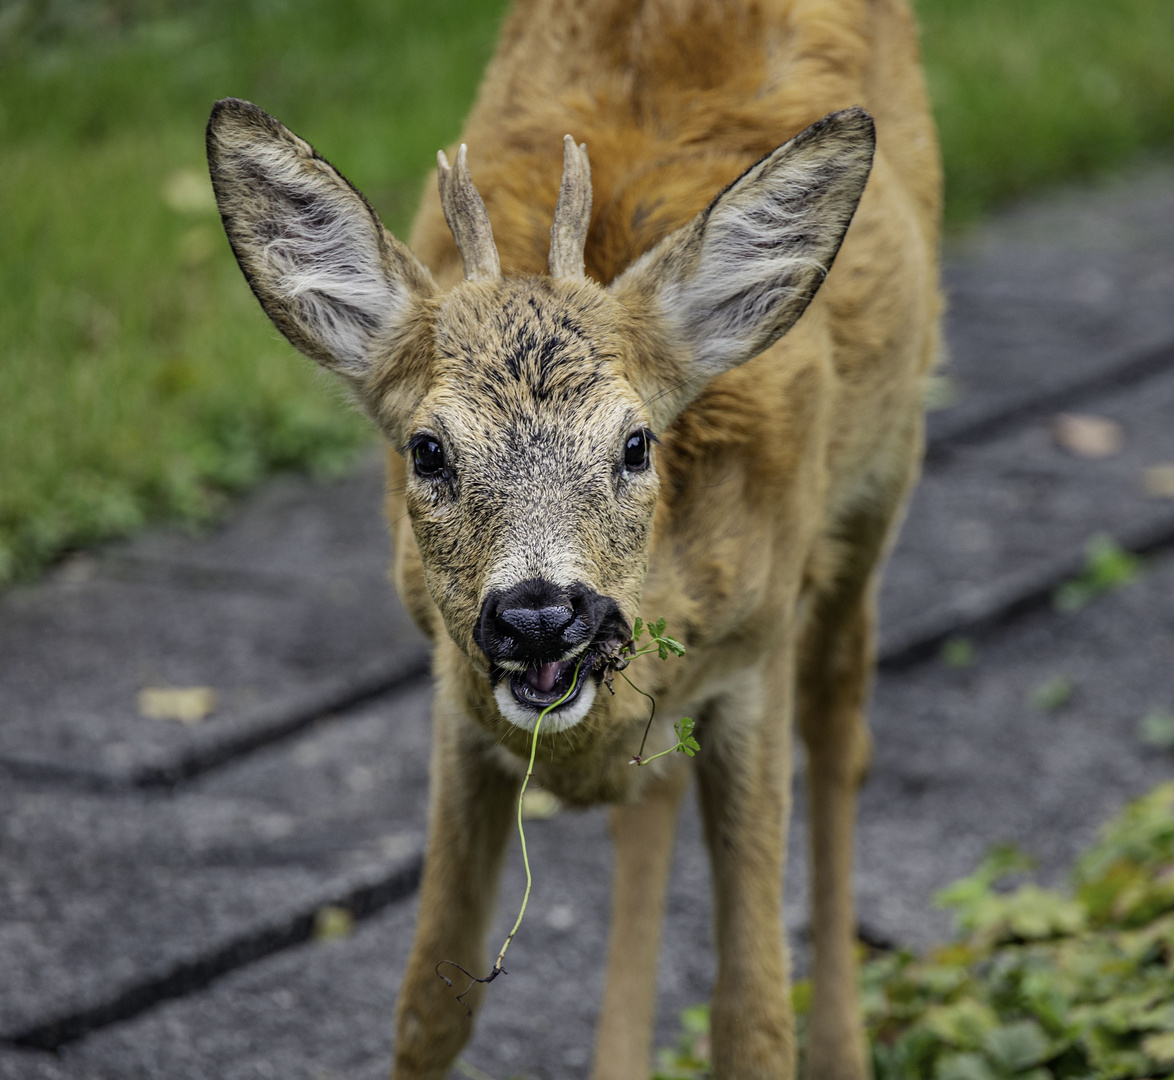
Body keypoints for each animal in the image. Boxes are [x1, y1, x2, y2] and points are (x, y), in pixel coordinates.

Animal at [206, 0, 939, 1070]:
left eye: (637, 444)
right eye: (426, 449)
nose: (541, 616)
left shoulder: (755, 659)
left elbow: (753, 1023)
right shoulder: (453, 692)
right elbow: (428, 1006)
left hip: (881, 483)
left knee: (842, 722)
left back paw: (846, 1051)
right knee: (652, 801)